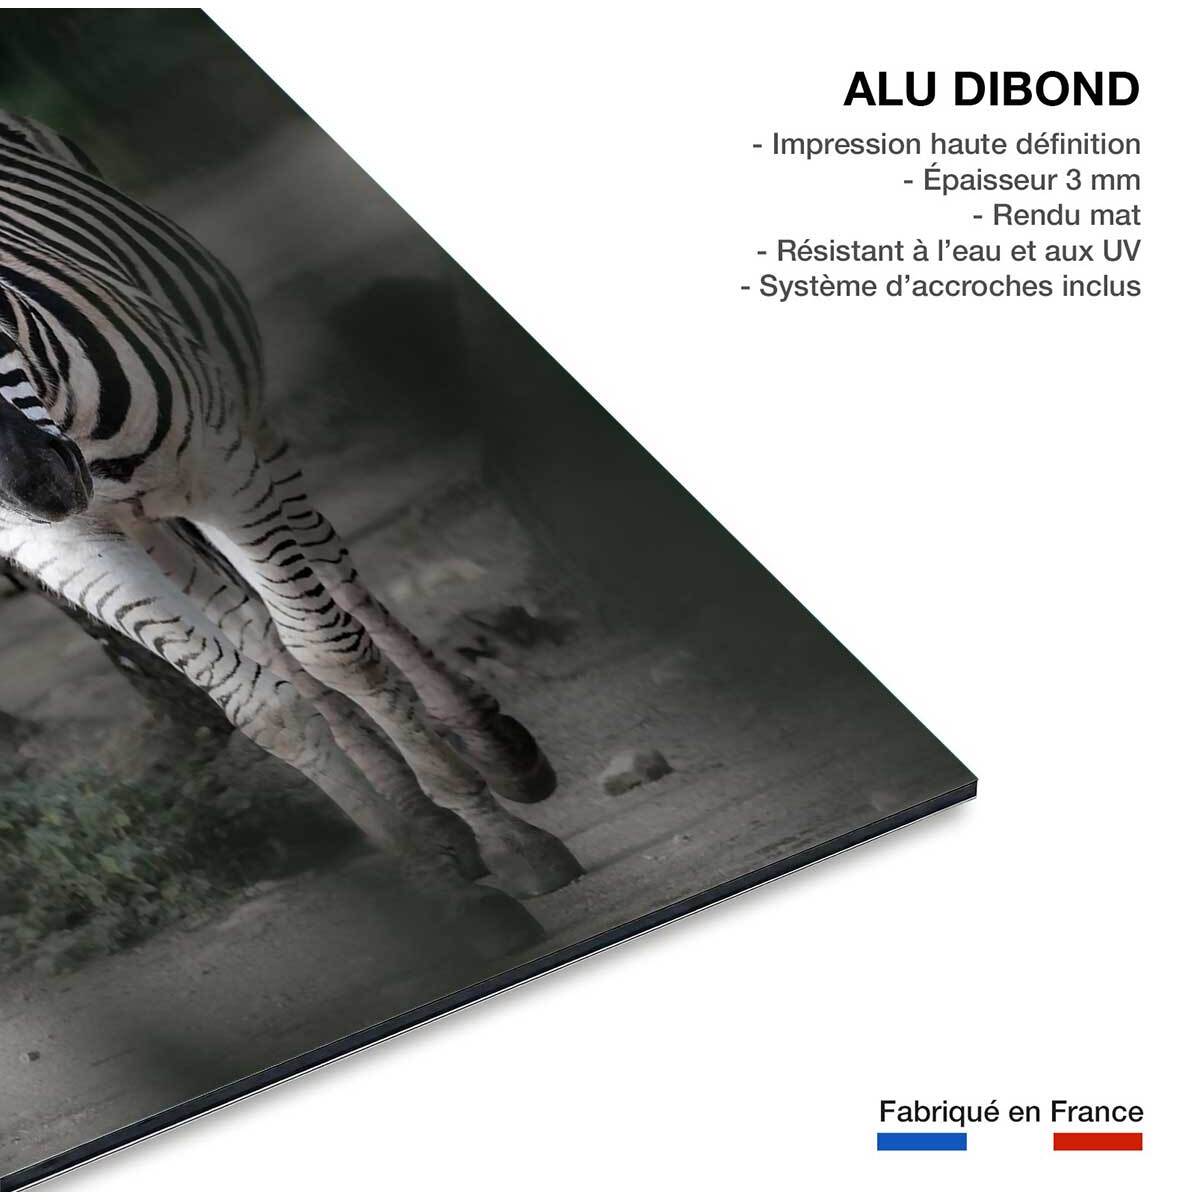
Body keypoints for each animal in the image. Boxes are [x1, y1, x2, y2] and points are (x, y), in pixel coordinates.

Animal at [0, 110, 582, 949]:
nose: (40, 485)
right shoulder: (60, 548)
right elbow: (266, 706)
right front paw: (444, 884)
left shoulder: (224, 471)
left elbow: (333, 650)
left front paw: (510, 841)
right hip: (144, 520)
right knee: (257, 624)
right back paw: (434, 827)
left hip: (245, 429)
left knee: (331, 576)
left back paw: (494, 750)